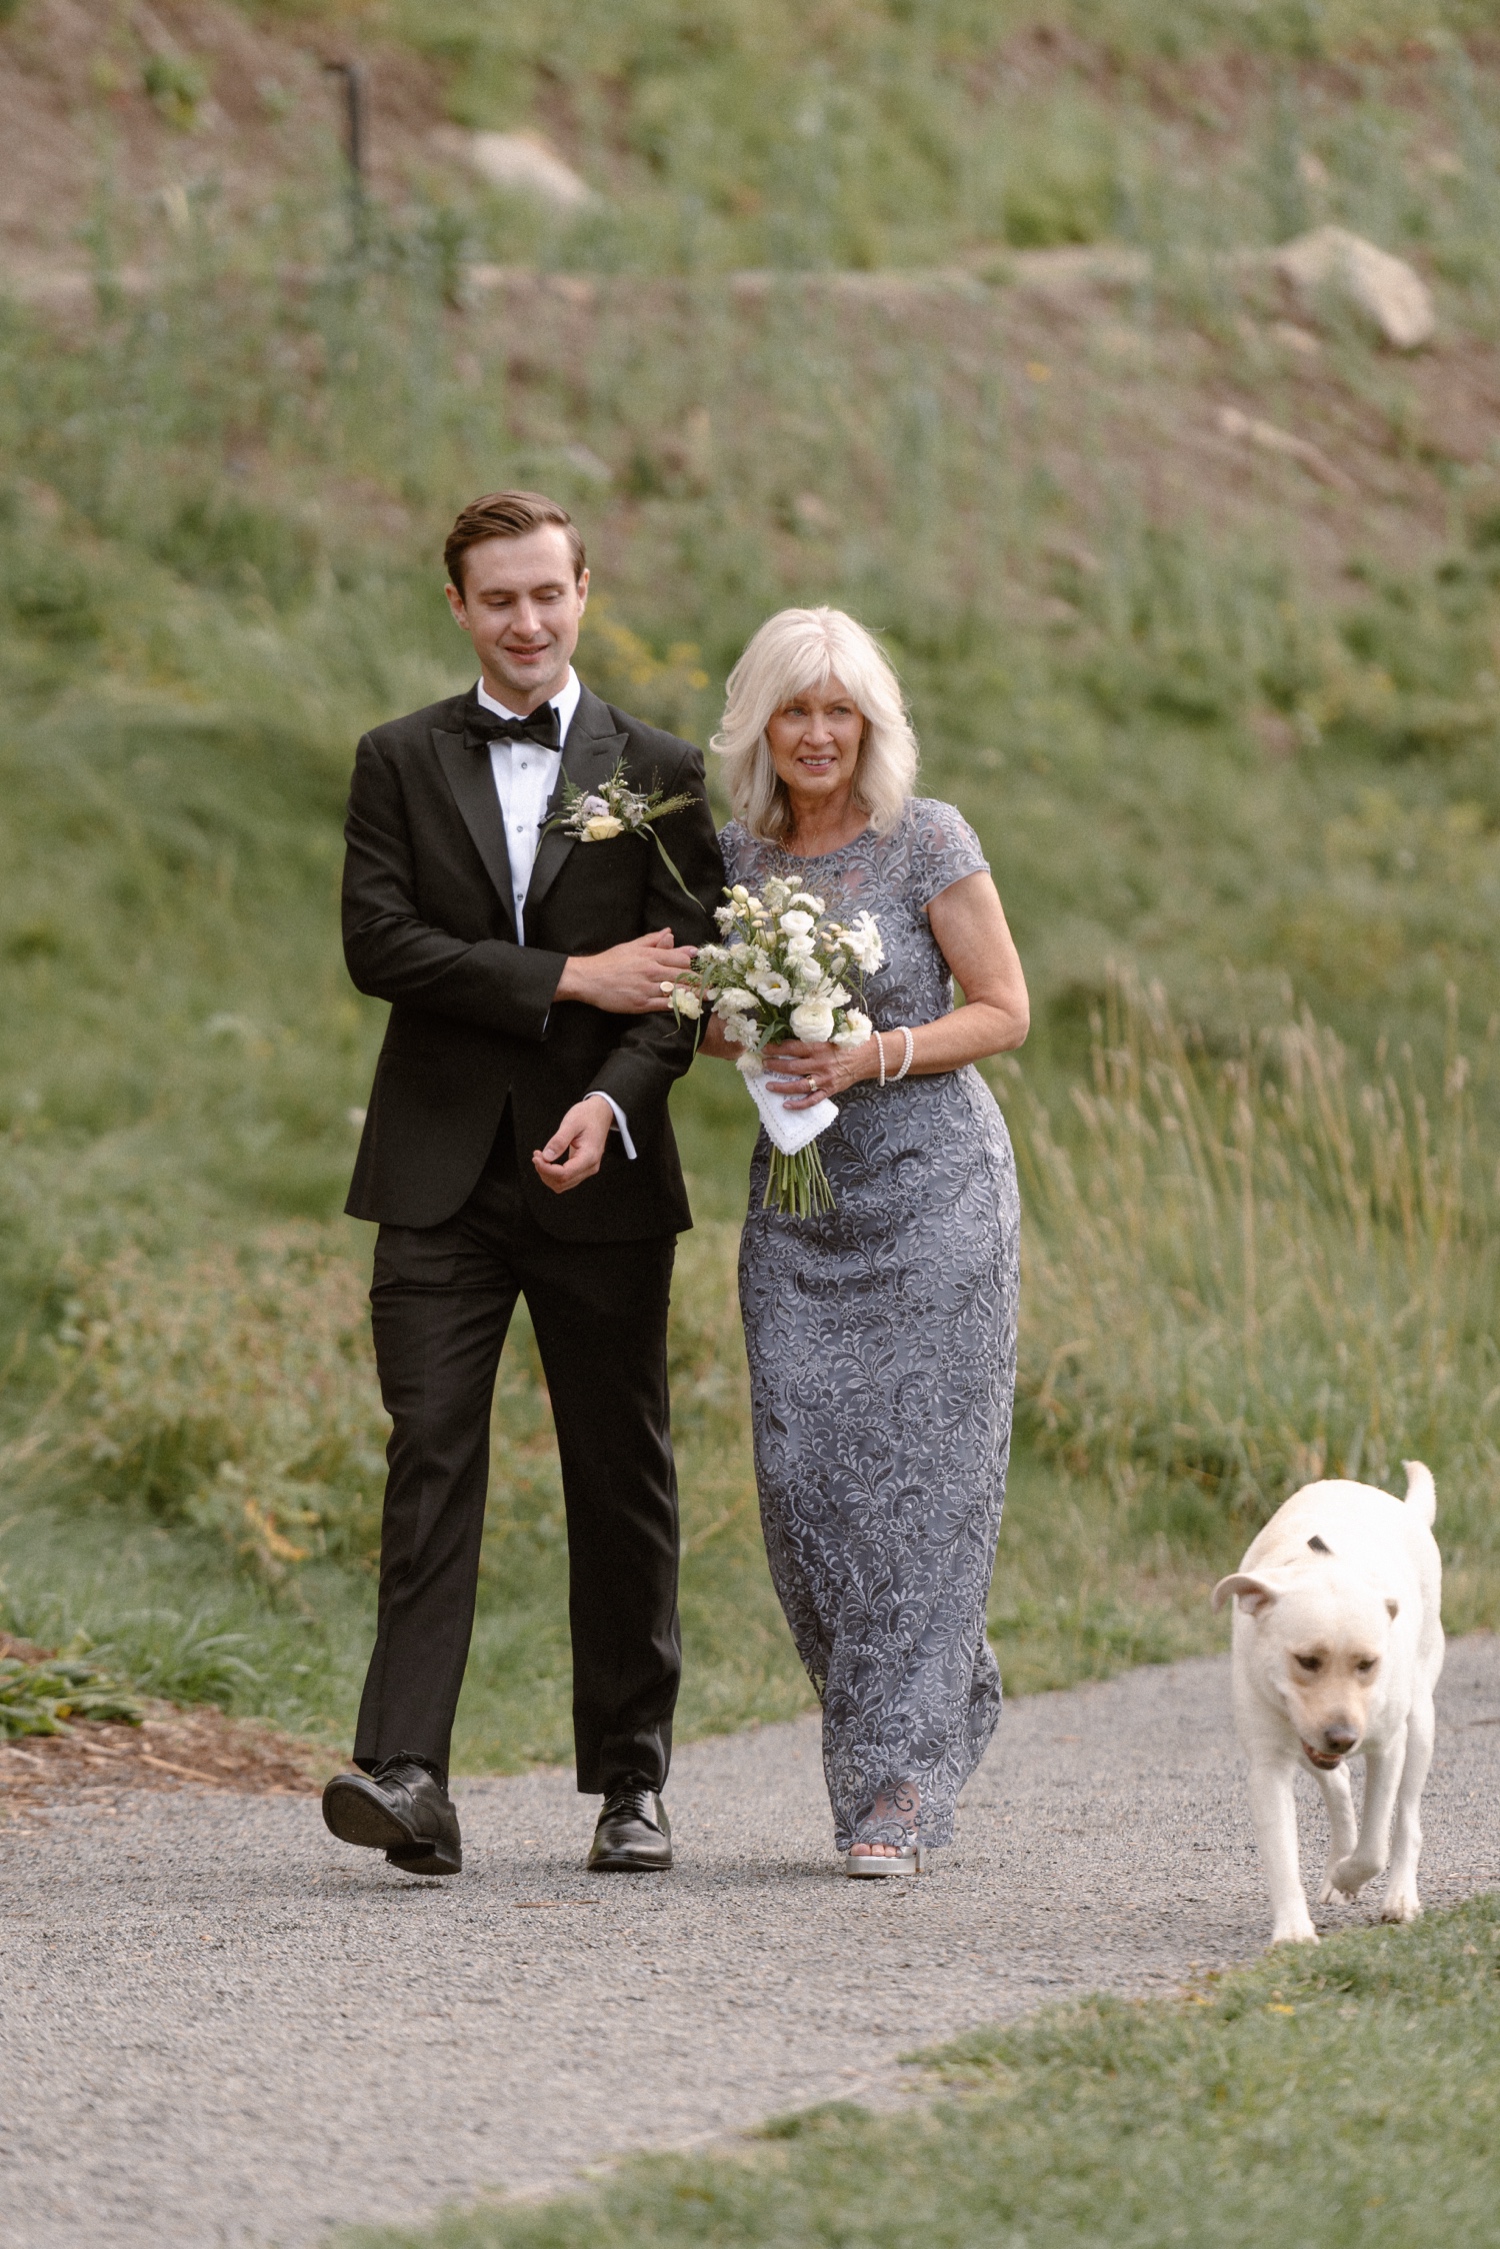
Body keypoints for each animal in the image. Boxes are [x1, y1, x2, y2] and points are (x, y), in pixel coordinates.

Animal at [1205, 1466, 1439, 1943]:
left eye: (1367, 1664)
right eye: (1307, 1661)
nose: (1343, 1737)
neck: (1321, 1567)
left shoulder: (1388, 1745)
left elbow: (1374, 1845)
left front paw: (1351, 1875)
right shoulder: (1270, 1761)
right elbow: (1281, 1852)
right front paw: (1294, 1931)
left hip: (1421, 1723)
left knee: (1406, 1817)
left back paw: (1398, 1897)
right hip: (1303, 1740)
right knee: (1339, 1783)